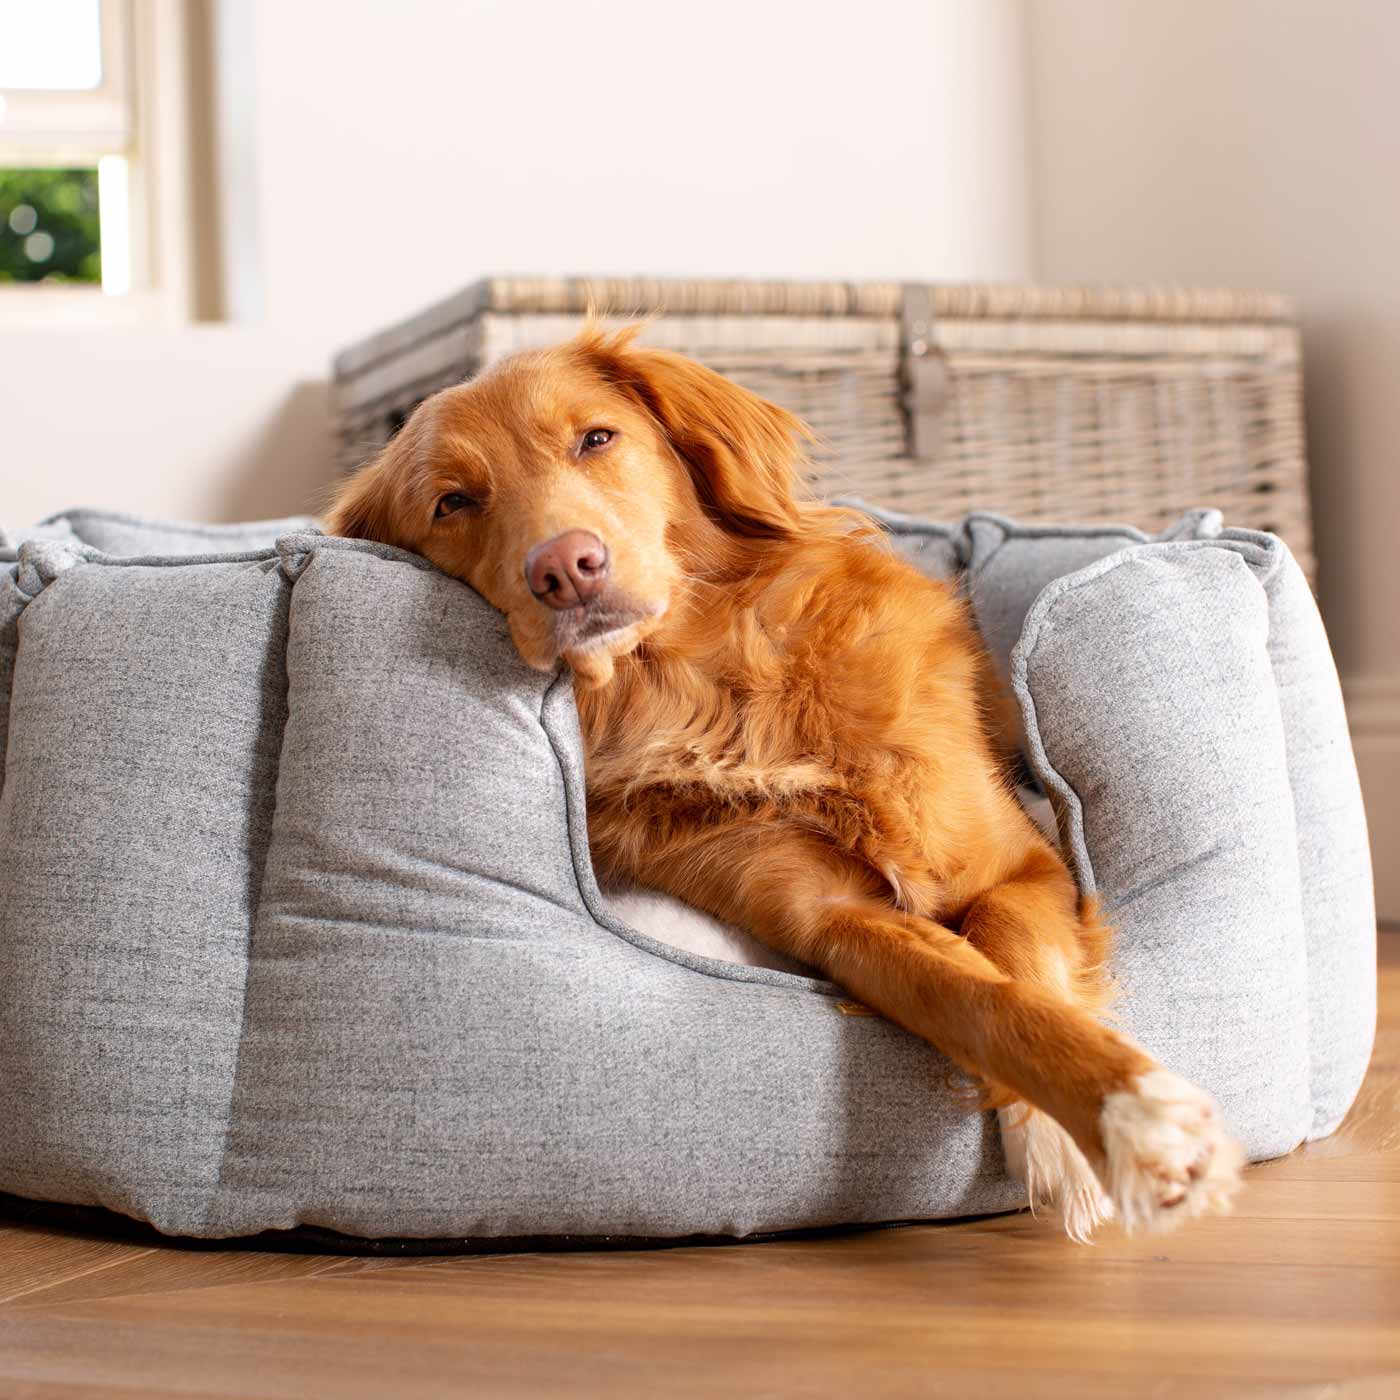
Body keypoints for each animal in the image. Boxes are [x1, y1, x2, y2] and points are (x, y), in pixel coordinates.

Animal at [330, 324, 1248, 1237]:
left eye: (595, 438)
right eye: (452, 503)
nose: (565, 567)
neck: (716, 696)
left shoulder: (1022, 865)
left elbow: (1016, 957)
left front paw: (1102, 1125)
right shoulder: (828, 920)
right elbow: (979, 998)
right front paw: (1112, 1129)